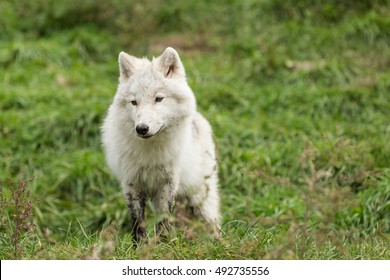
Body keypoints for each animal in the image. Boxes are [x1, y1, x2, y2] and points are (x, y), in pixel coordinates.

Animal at [102, 47, 221, 242]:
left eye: (158, 99)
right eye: (134, 102)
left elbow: (164, 220)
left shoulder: (168, 183)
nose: (142, 128)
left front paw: (164, 244)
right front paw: (140, 247)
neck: (150, 153)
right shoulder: (131, 184)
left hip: (199, 199)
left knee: (214, 223)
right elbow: (137, 223)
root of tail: (200, 120)